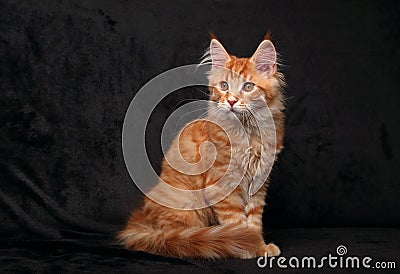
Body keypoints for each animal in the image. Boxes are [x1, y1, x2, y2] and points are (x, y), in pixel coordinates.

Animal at [117, 34, 286, 260]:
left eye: (248, 87)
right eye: (224, 85)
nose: (231, 101)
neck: (248, 133)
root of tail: (147, 224)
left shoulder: (258, 183)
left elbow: (253, 219)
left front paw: (259, 245)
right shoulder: (221, 185)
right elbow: (237, 222)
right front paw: (249, 245)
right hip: (186, 203)